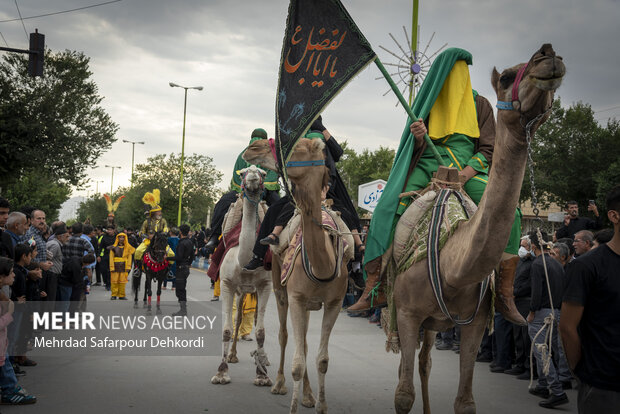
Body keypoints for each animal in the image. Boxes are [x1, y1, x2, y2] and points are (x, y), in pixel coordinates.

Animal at [246, 137, 356, 412]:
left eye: (297, 147)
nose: (253, 149)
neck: (322, 265)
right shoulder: (295, 297)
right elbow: (296, 360)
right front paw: (291, 400)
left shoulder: (335, 302)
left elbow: (321, 359)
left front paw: (320, 405)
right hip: (279, 287)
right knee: (285, 336)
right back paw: (278, 384)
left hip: (307, 302)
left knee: (303, 342)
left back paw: (308, 395)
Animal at [392, 43, 568, 412]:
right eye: (506, 78)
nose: (548, 55)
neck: (451, 265)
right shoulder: (407, 314)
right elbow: (403, 395)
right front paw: (419, 132)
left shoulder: (474, 323)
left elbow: (465, 401)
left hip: (436, 322)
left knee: (426, 362)